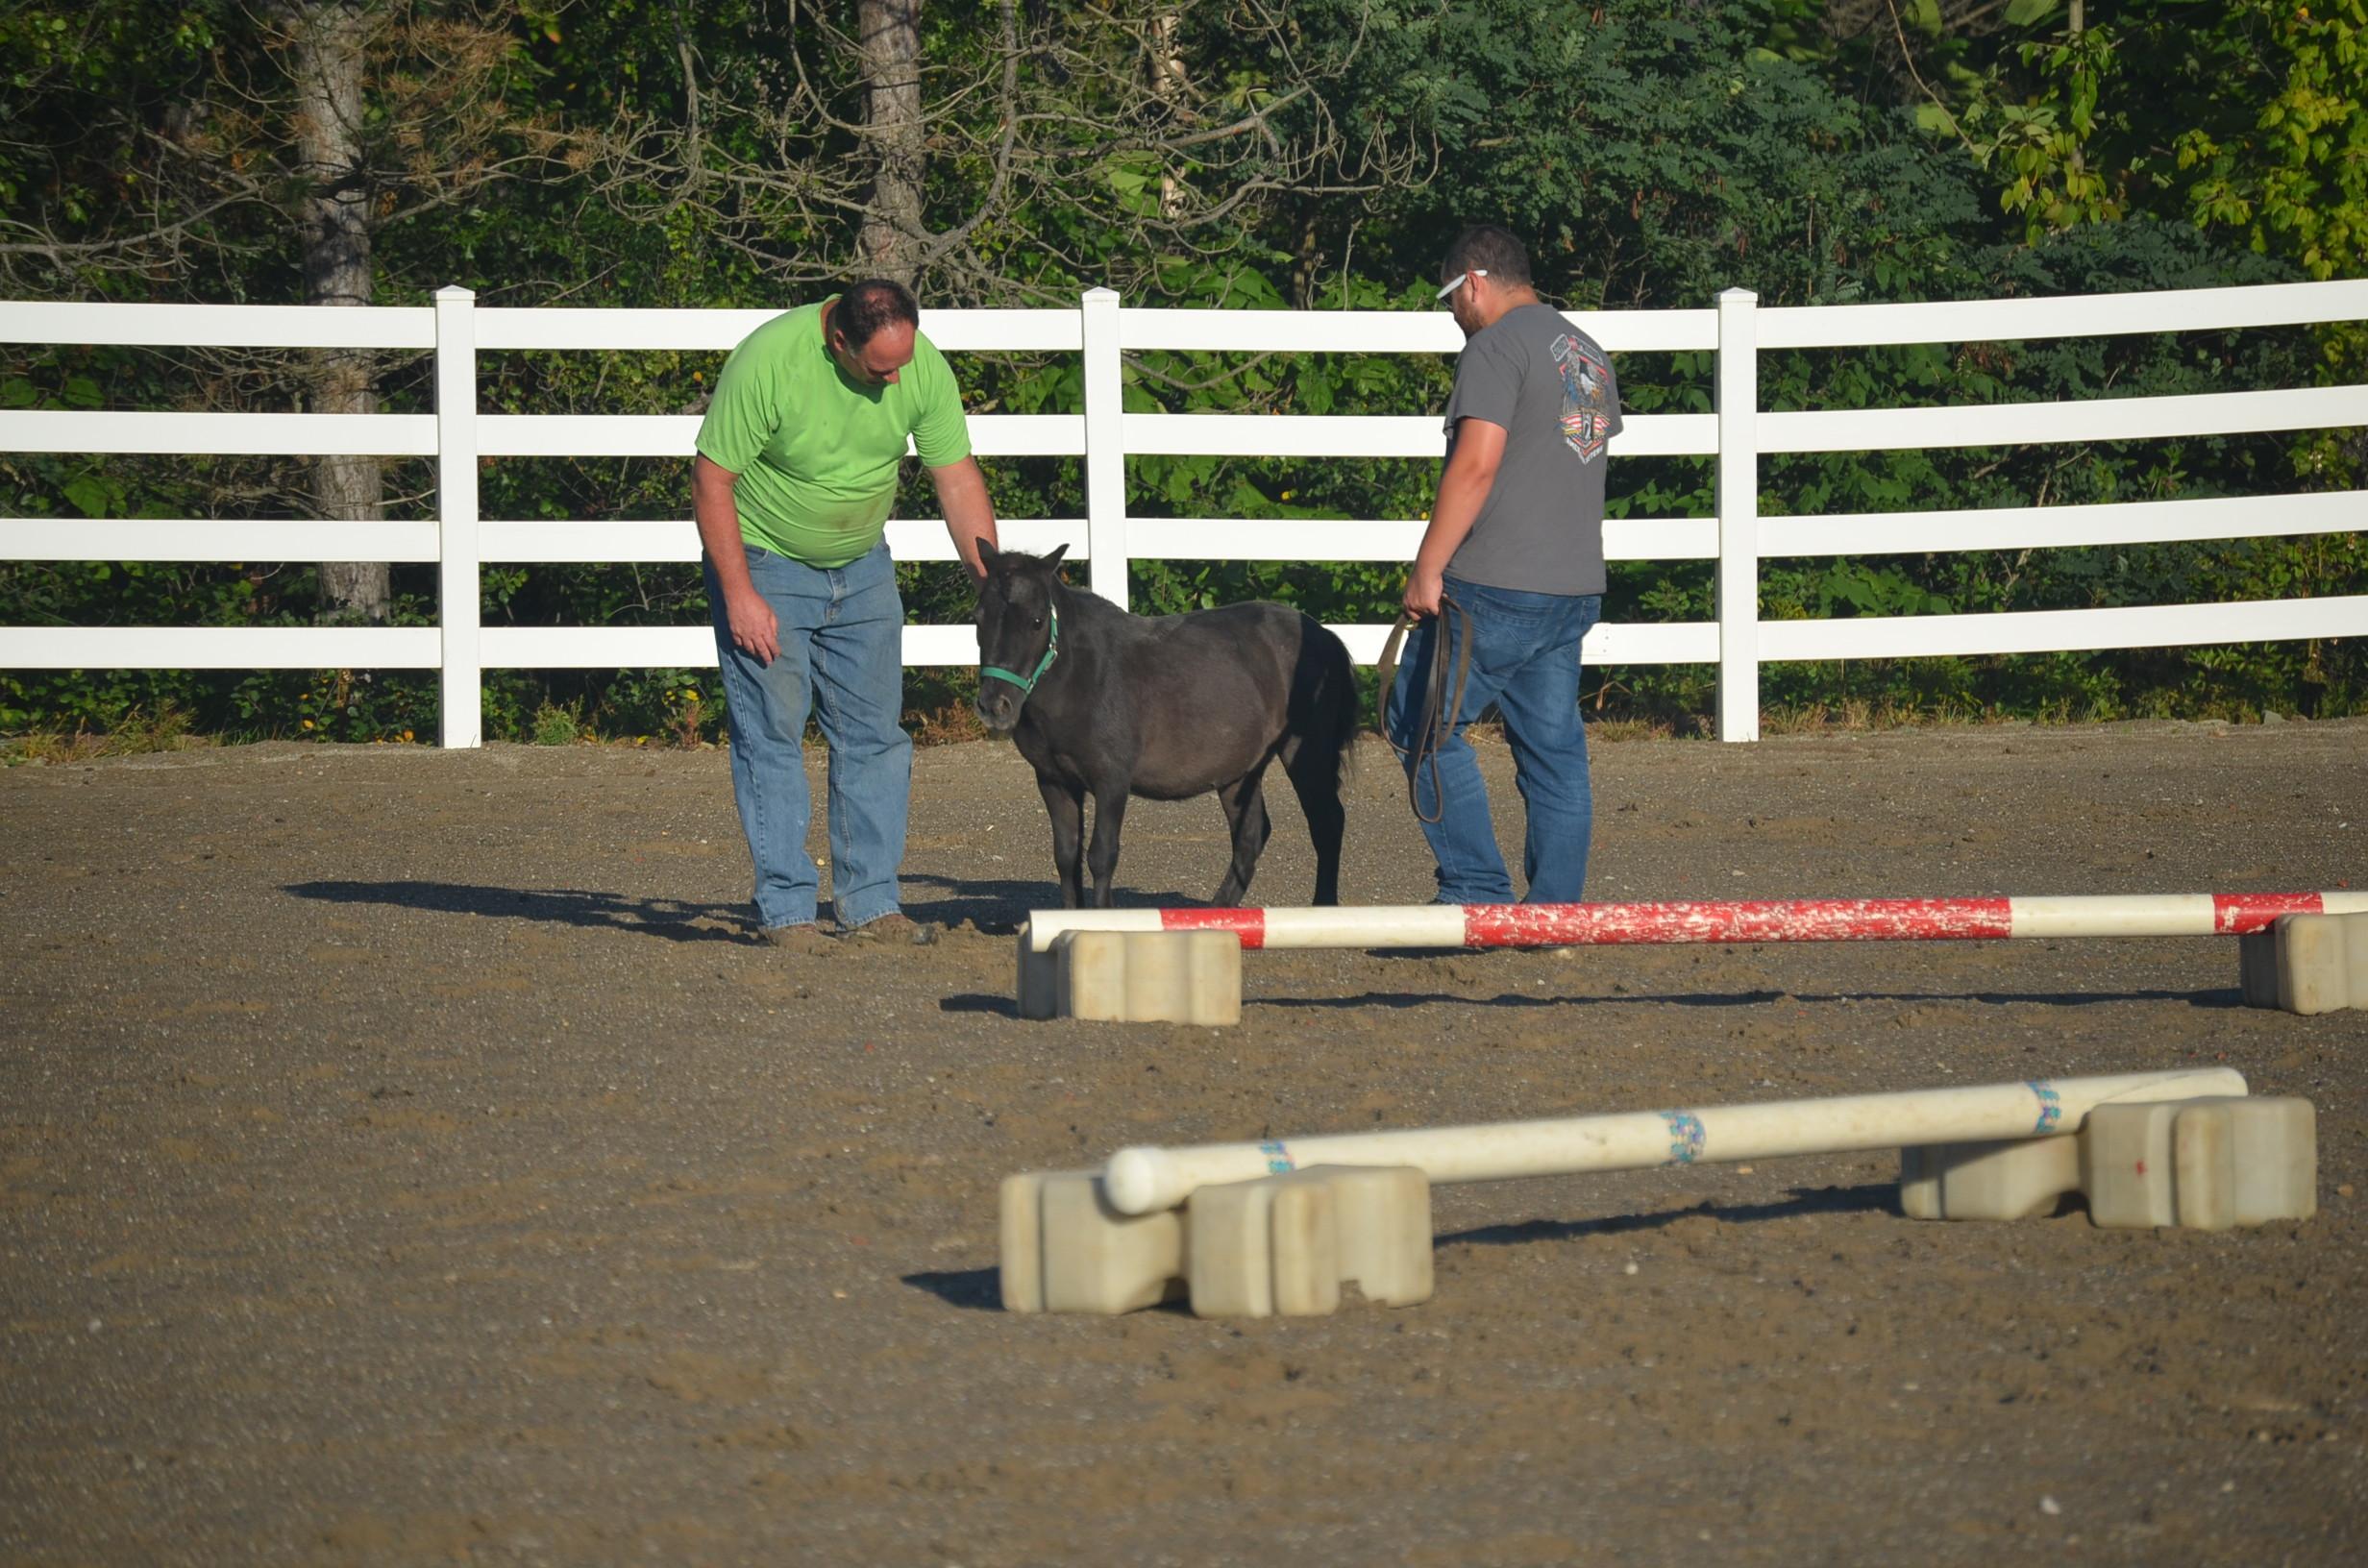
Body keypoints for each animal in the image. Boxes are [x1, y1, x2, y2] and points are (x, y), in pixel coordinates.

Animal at [971, 542, 1358, 910]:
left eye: (1037, 621)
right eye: (977, 619)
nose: (995, 705)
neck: (1082, 676)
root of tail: (1324, 635)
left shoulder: (1112, 781)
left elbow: (1101, 856)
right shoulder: (1054, 781)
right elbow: (1066, 857)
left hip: (1305, 753)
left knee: (1327, 822)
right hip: (1240, 771)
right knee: (1251, 836)